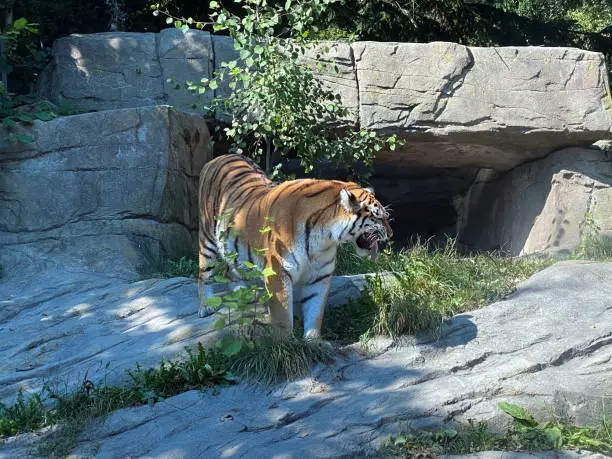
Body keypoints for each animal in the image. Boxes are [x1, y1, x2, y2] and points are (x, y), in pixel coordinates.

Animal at [198, 153, 394, 340]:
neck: (324, 238)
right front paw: (285, 345)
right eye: (378, 217)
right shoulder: (277, 271)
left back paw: (241, 291)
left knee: (230, 268)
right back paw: (205, 307)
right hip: (207, 239)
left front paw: (313, 342)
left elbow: (315, 311)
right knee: (204, 274)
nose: (391, 234)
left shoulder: (320, 275)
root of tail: (217, 158)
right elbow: (283, 317)